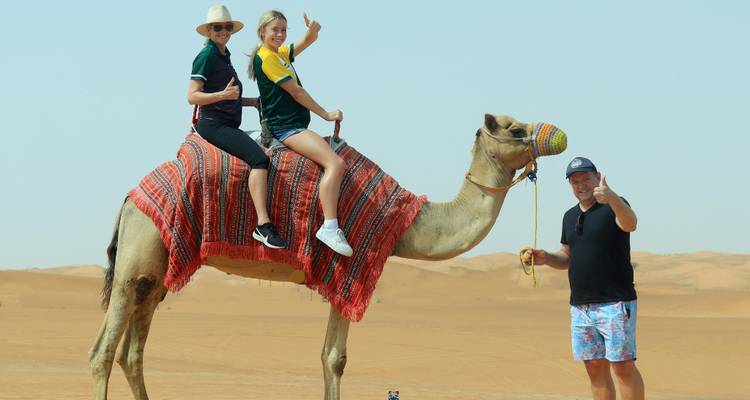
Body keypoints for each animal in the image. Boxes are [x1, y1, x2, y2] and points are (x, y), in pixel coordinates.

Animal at [89, 113, 567, 400]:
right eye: (515, 129)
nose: (557, 134)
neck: (405, 222)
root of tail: (130, 198)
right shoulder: (350, 266)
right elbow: (335, 358)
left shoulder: (342, 278)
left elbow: (329, 357)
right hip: (138, 255)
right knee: (103, 352)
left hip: (155, 270)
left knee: (133, 351)